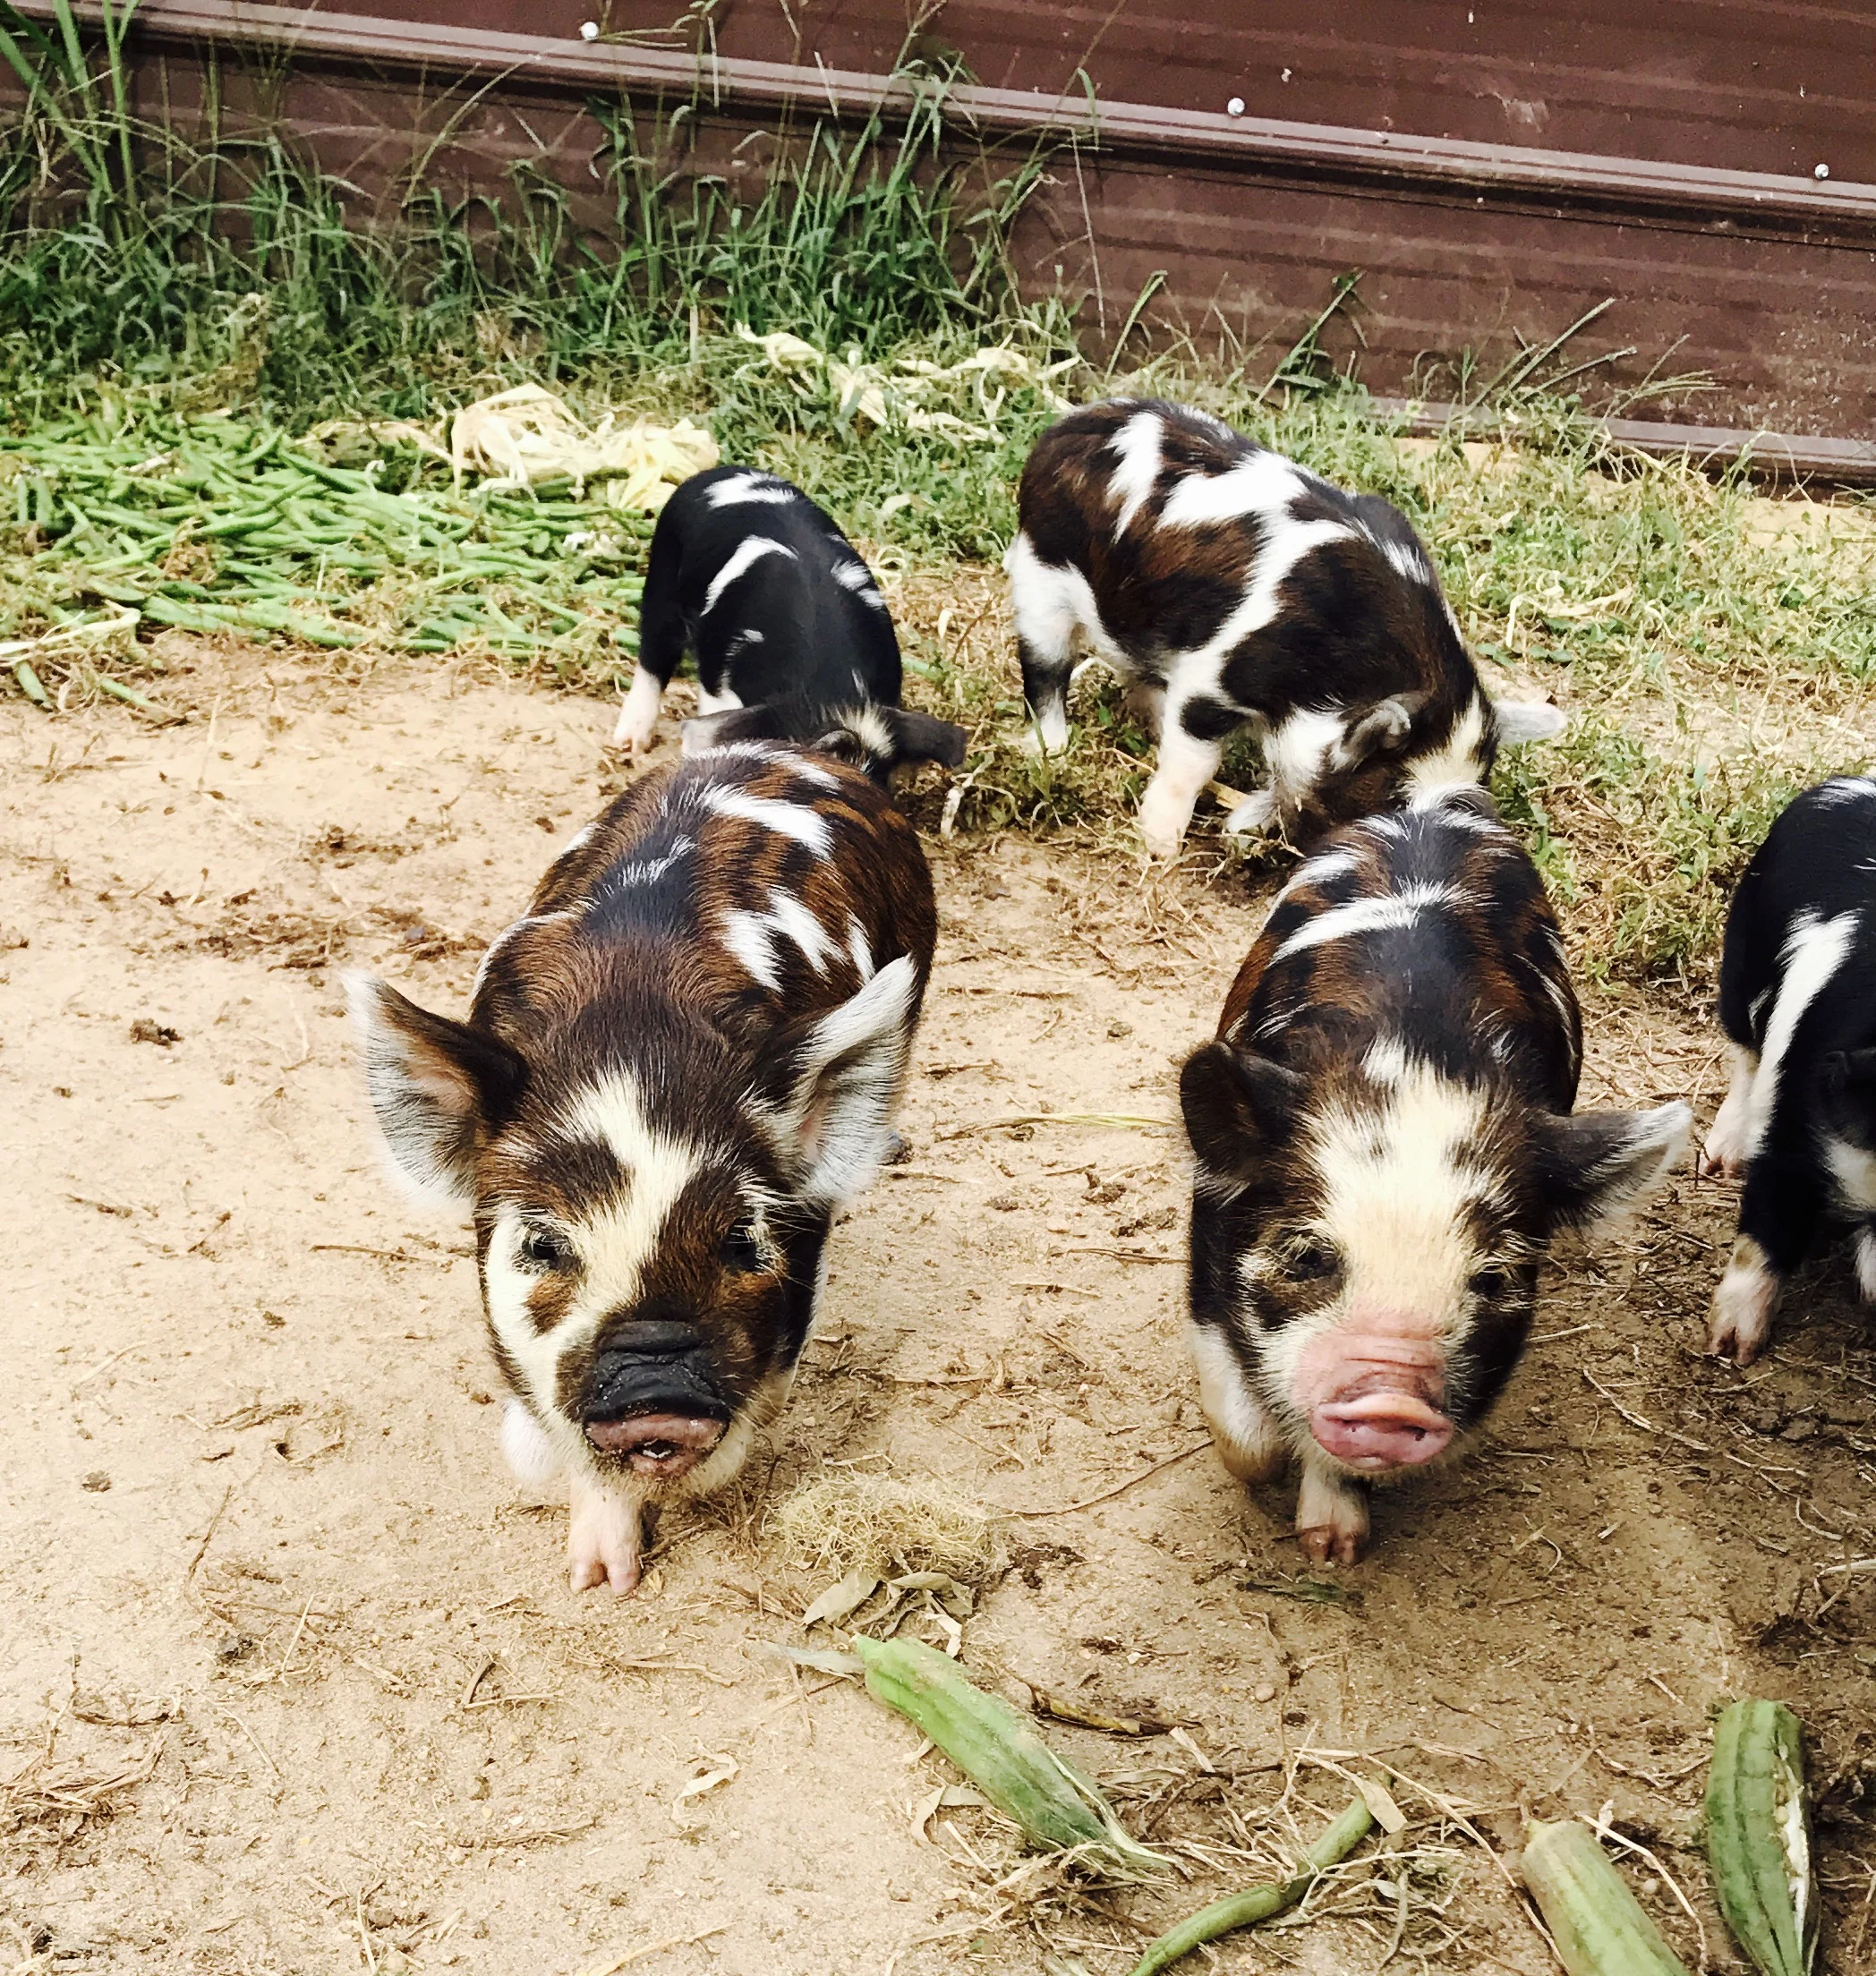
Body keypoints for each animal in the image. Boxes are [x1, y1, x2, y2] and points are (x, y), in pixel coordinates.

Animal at [612, 465, 967, 781]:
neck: (827, 688)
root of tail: (722, 472)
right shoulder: (719, 686)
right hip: (662, 575)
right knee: (653, 656)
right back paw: (629, 744)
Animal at [1004, 398, 1565, 857]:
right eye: (1392, 799)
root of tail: (1064, 427)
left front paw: (1238, 827)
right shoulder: (1213, 677)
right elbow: (1193, 763)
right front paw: (1160, 849)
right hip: (1039, 578)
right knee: (1044, 671)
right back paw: (1051, 748)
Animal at [1177, 788, 1690, 1562]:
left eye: (1492, 1279)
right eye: (1306, 1256)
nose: (1391, 1401)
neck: (1414, 1062)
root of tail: (1435, 803)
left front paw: (1335, 1551)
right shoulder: (1210, 1230)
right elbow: (1243, 1431)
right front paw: (1268, 1479)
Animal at [1702, 775, 1876, 1364]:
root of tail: (1844, 784)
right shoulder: (1794, 1110)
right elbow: (1765, 1225)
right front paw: (1731, 1349)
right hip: (1740, 959)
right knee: (1743, 1052)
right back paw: (1722, 1161)